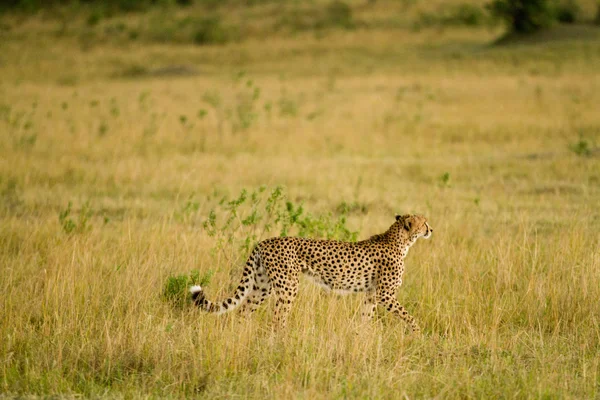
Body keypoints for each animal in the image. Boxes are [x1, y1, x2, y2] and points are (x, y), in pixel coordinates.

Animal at [192, 216, 432, 332]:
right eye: (424, 222)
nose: (431, 229)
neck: (401, 241)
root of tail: (264, 241)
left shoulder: (372, 294)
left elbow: (365, 318)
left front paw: (361, 338)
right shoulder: (385, 295)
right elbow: (408, 316)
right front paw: (418, 333)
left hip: (263, 286)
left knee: (244, 311)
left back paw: (241, 335)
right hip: (288, 286)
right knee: (278, 317)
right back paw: (282, 343)